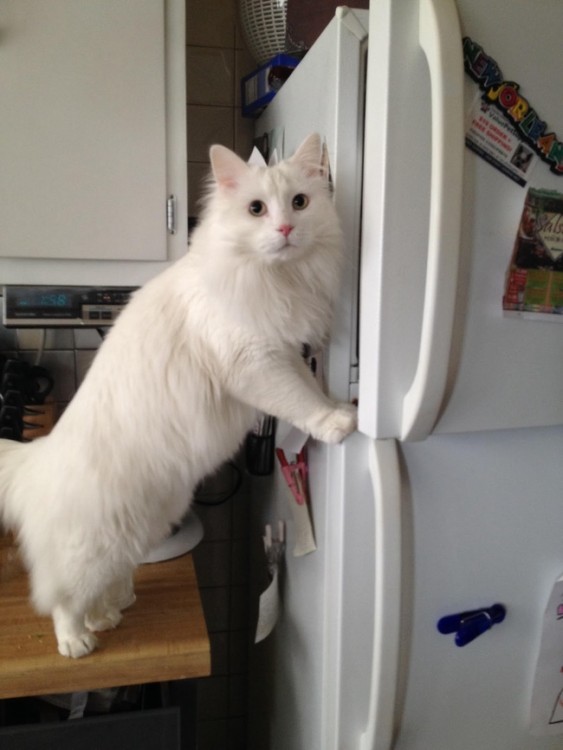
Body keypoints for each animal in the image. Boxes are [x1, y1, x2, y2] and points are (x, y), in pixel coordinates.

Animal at [0, 134, 356, 656]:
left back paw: (112, 614)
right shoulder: (258, 363)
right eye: (256, 209)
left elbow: (311, 390)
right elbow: (300, 401)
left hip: (135, 531)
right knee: (62, 598)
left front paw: (341, 407)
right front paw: (336, 424)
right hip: (90, 546)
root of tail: (36, 457)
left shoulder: (283, 353)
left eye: (300, 202)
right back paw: (78, 641)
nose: (286, 228)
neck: (272, 278)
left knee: (105, 585)